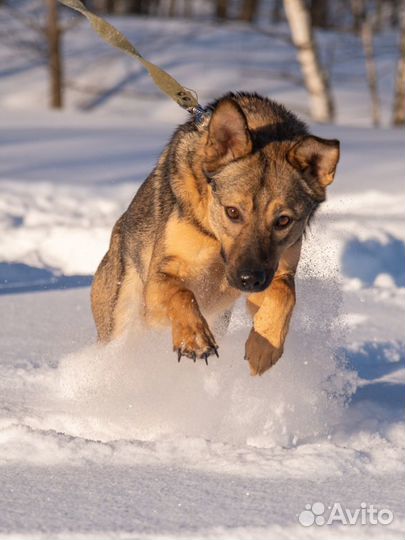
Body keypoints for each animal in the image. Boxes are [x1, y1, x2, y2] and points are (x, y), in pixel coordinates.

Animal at [90, 90, 338, 374]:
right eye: (232, 212)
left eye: (283, 220)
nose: (249, 279)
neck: (214, 237)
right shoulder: (158, 283)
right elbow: (182, 293)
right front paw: (195, 339)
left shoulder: (278, 271)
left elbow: (284, 293)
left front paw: (264, 347)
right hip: (124, 313)